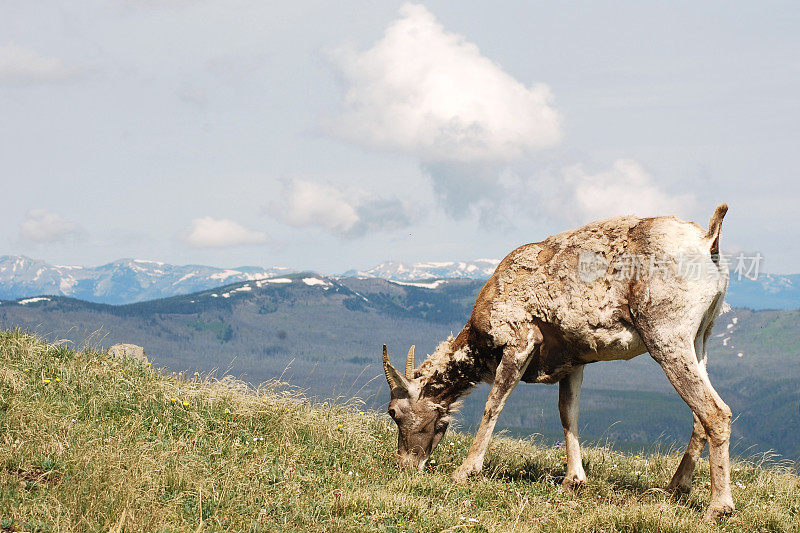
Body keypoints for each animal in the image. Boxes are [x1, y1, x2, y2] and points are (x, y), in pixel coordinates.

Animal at [384, 204, 736, 520]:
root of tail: (708, 241)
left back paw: (718, 507)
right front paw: (573, 480)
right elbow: (569, 414)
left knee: (715, 412)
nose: (405, 465)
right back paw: (673, 489)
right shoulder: (574, 361)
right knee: (699, 417)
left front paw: (465, 471)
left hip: (667, 336)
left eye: (394, 412)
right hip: (699, 340)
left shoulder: (520, 342)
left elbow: (493, 405)